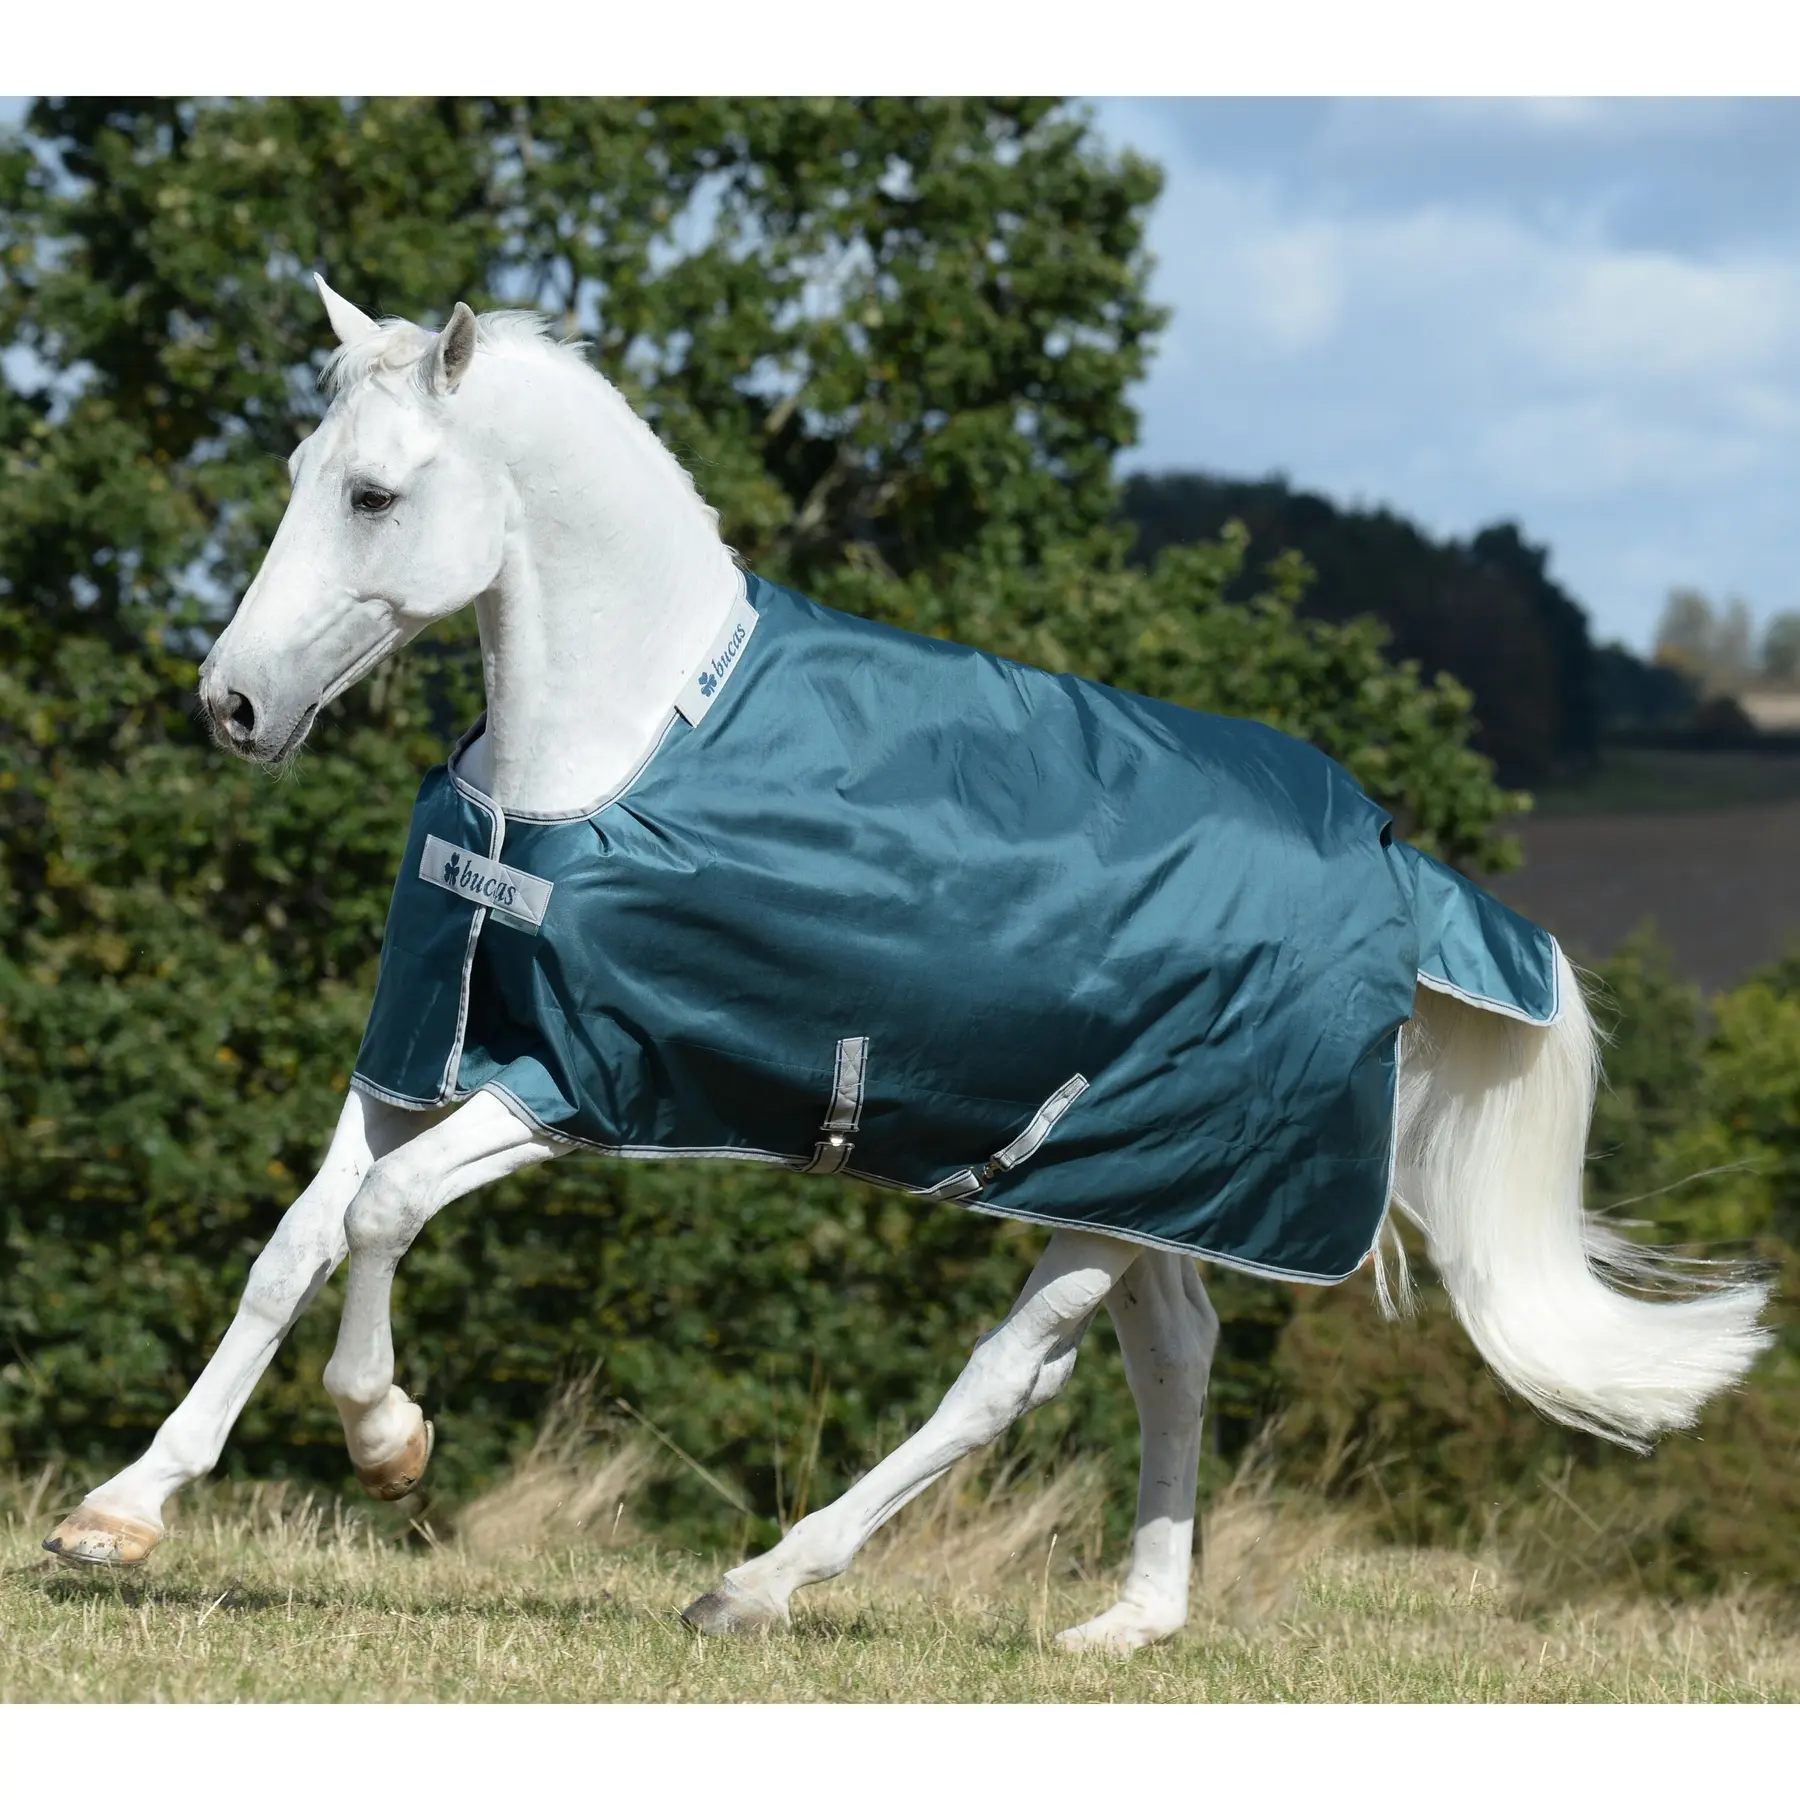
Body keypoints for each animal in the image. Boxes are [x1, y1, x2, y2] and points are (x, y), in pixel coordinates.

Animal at [43, 278, 1771, 1654]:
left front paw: (390, 1441)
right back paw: (1128, 1625)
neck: (605, 754)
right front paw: (118, 1515)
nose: (232, 706)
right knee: (1175, 1357)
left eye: (376, 495)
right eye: (297, 475)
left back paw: (758, 1587)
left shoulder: (572, 1085)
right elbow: (291, 1245)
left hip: (1110, 1184)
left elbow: (384, 1218)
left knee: (1006, 1381)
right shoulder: (425, 1047)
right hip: (1143, 1190)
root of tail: (1399, 872)